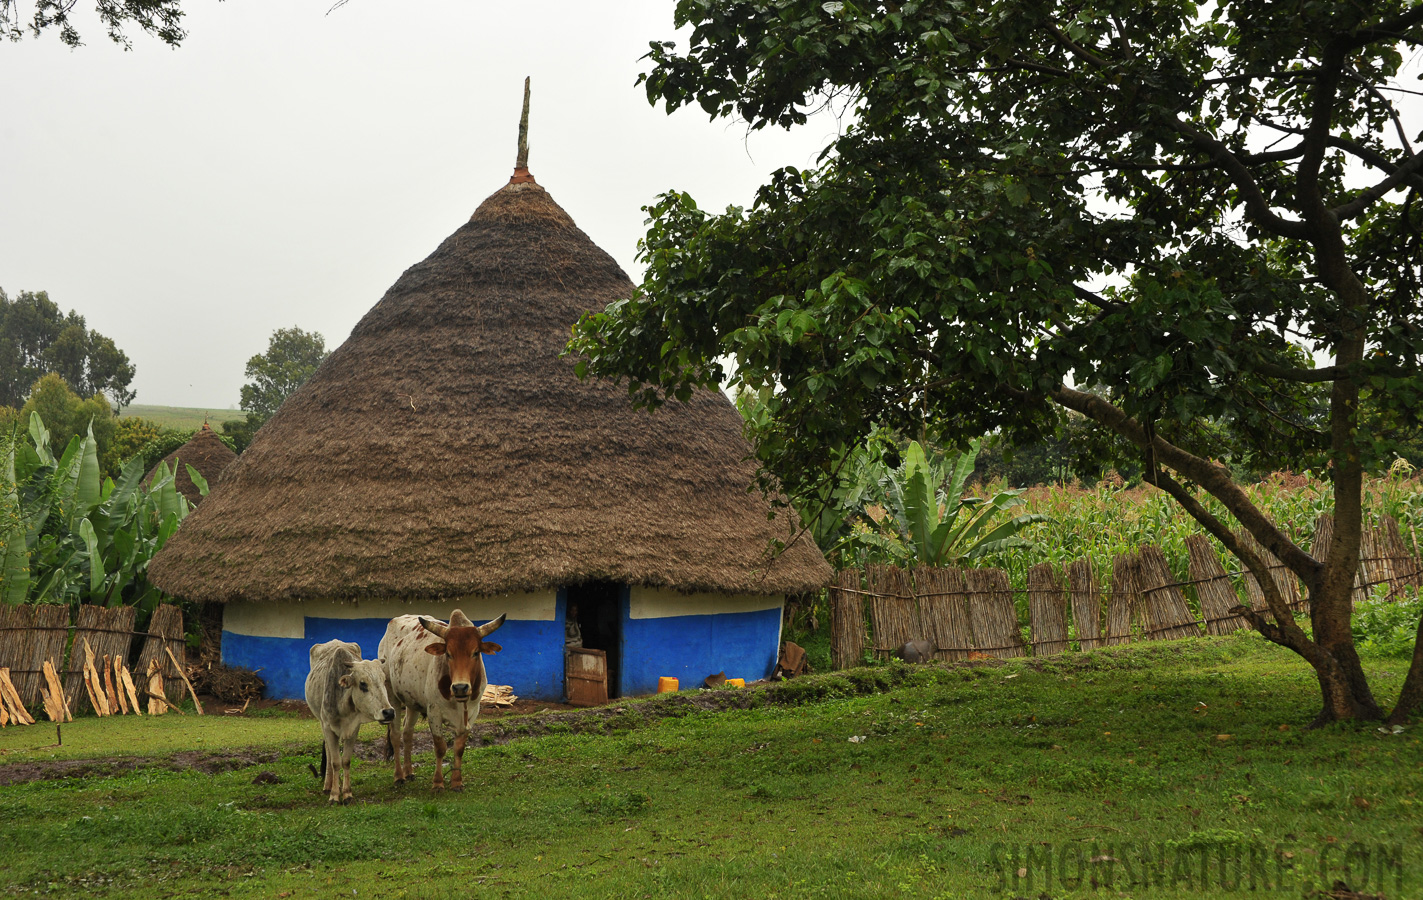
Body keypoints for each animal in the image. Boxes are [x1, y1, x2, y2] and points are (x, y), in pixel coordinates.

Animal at [304, 640, 395, 803]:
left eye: (384, 680)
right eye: (363, 683)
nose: (389, 712)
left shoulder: (354, 729)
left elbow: (345, 761)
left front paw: (346, 793)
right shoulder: (328, 727)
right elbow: (335, 762)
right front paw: (334, 795)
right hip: (321, 722)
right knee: (329, 752)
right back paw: (328, 786)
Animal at [378, 609, 506, 791]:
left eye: (476, 652)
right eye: (448, 654)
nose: (460, 687)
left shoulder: (472, 713)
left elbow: (459, 748)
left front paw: (457, 781)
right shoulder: (434, 712)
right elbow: (440, 747)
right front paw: (438, 782)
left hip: (412, 701)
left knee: (407, 732)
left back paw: (409, 771)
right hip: (391, 695)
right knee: (395, 735)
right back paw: (399, 776)